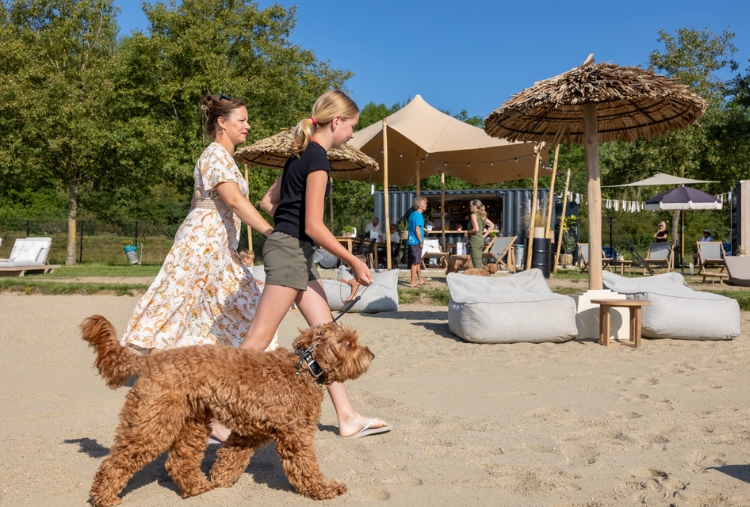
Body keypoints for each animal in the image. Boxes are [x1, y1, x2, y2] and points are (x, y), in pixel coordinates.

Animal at [81, 316, 374, 506]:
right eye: (348, 343)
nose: (371, 354)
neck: (307, 367)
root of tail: (149, 361)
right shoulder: (296, 434)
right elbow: (306, 468)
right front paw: (324, 489)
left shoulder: (251, 432)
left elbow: (230, 457)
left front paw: (220, 479)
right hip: (152, 423)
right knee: (117, 461)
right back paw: (105, 498)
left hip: (192, 422)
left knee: (179, 461)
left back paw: (198, 488)